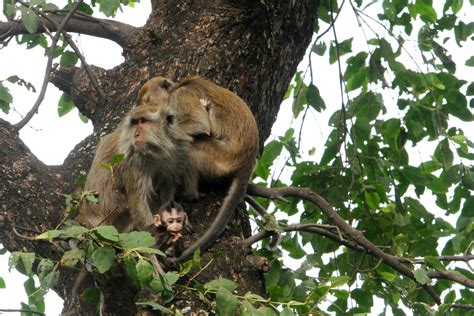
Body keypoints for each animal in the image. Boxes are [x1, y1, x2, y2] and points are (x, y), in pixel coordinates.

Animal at [138, 75, 260, 262]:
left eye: (147, 100)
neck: (176, 89)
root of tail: (247, 162)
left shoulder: (181, 97)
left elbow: (199, 125)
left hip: (221, 157)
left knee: (190, 146)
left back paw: (190, 195)